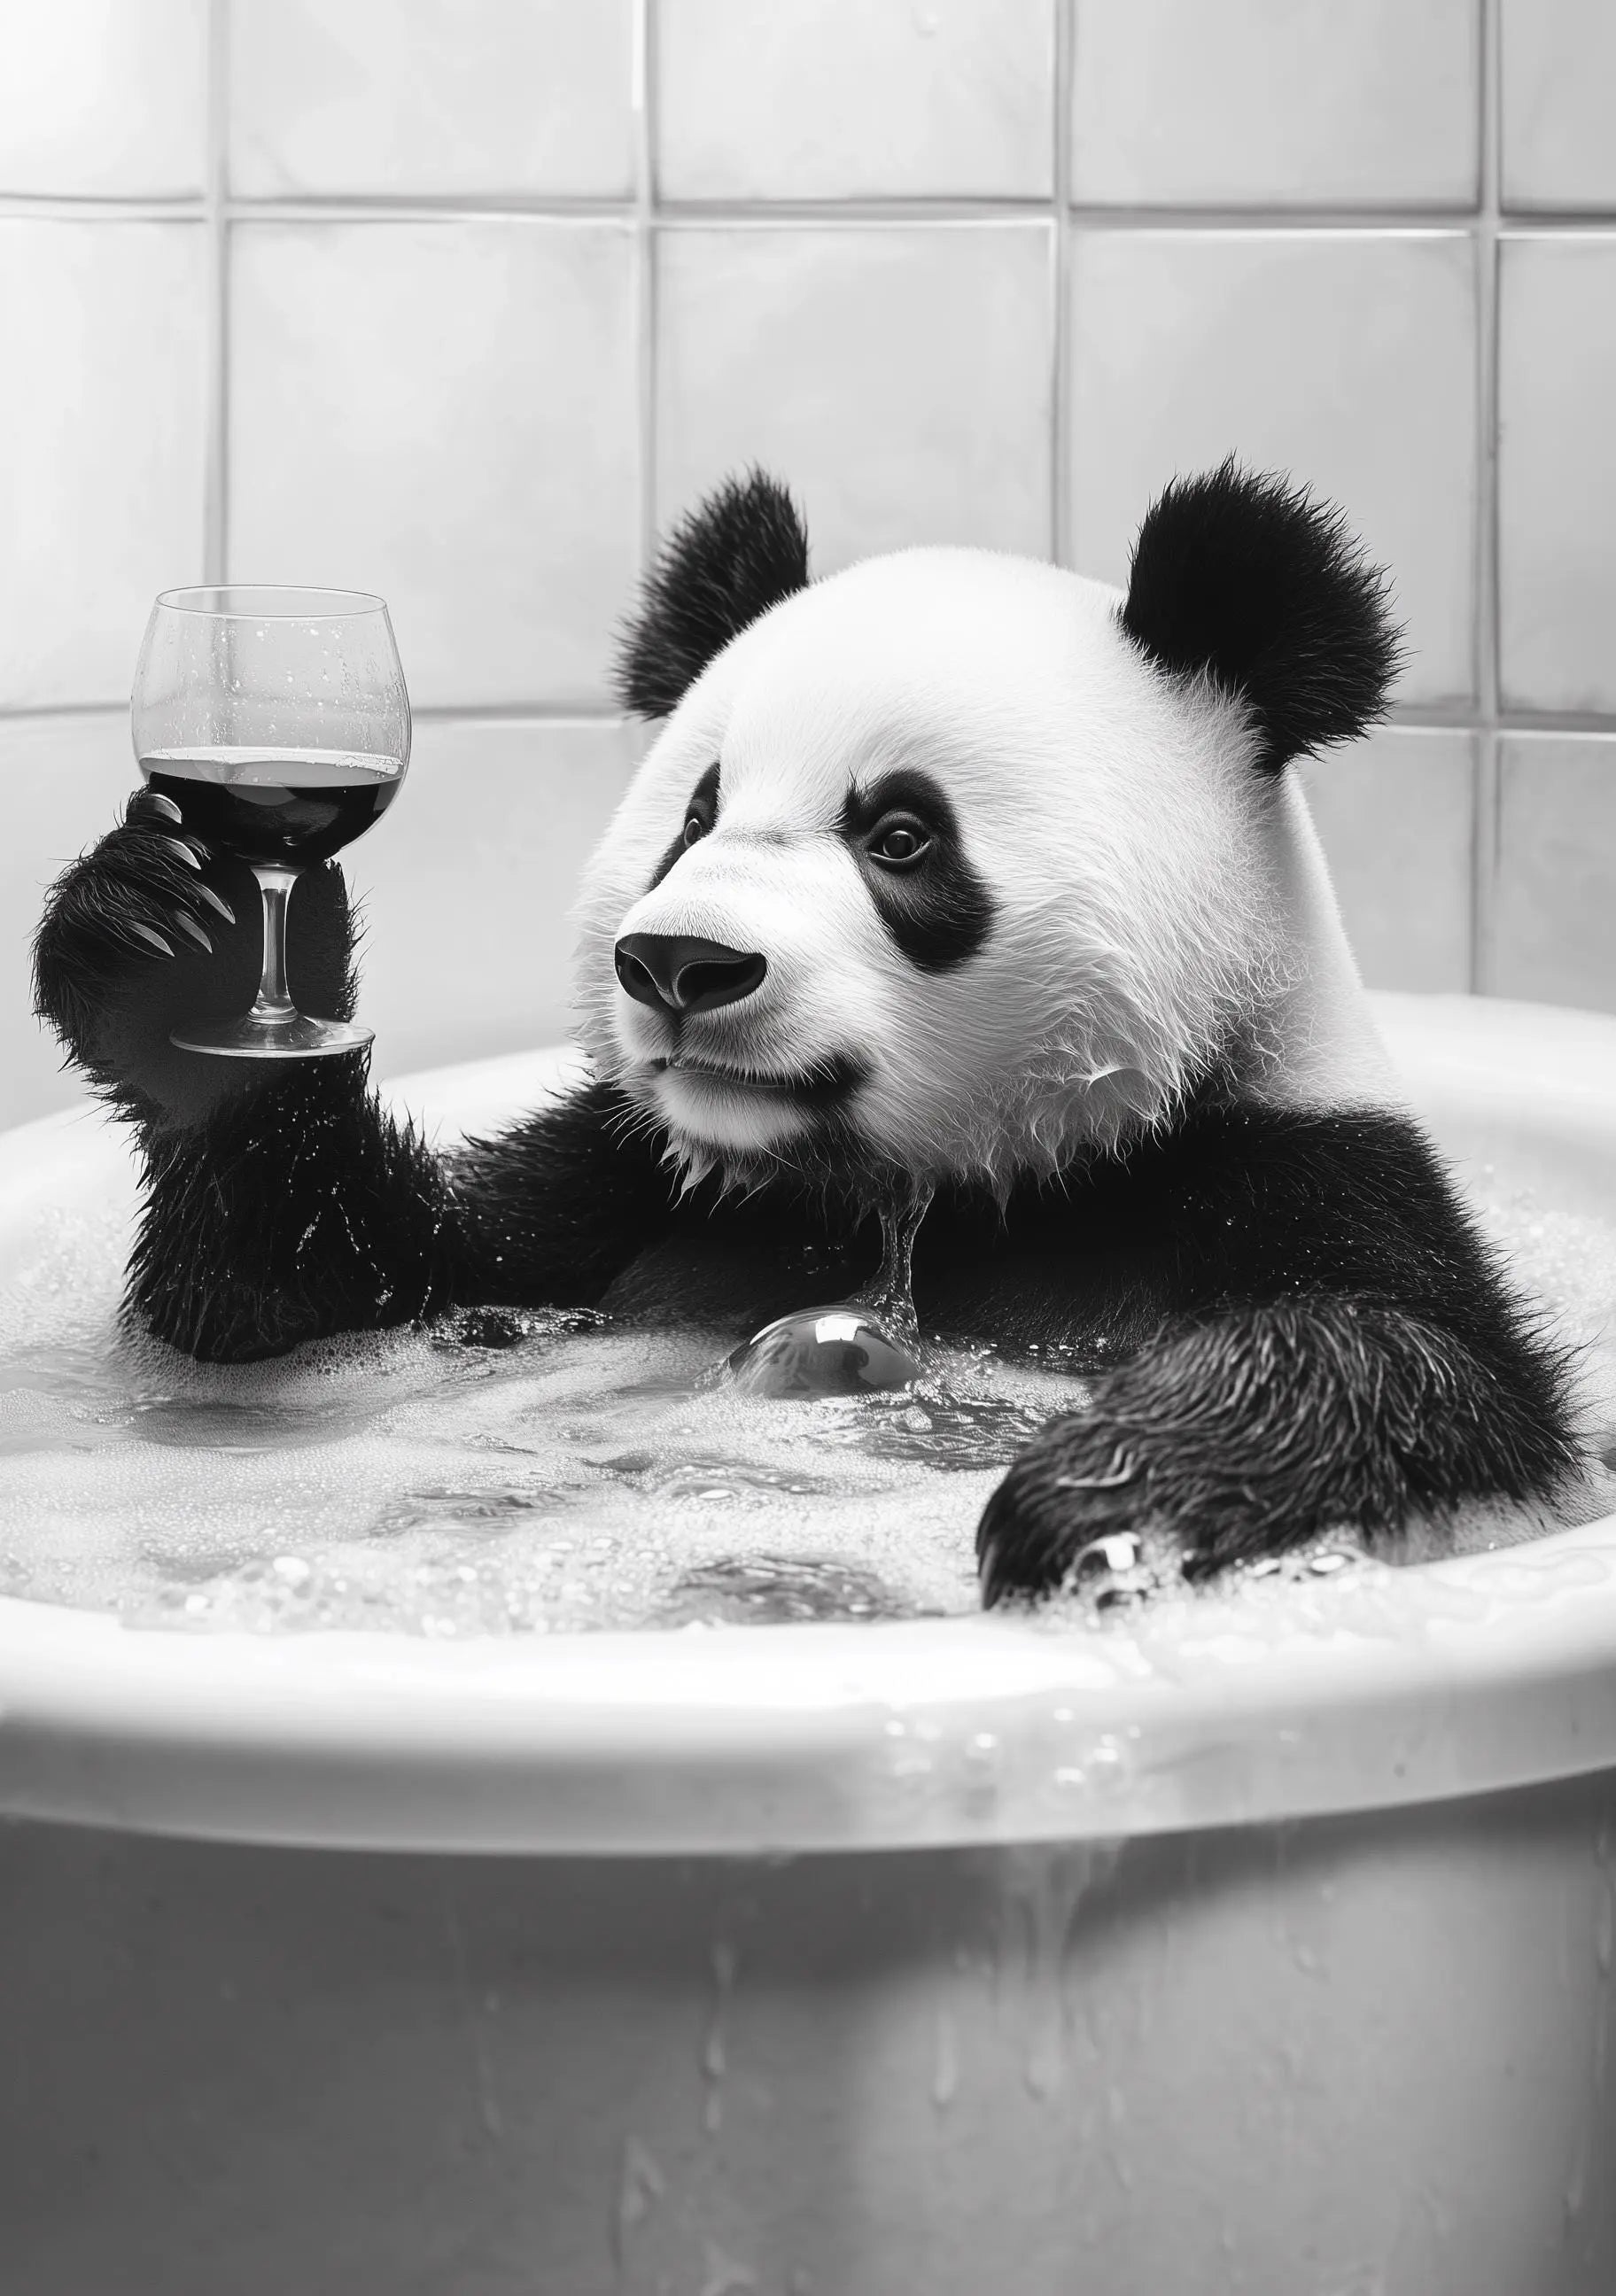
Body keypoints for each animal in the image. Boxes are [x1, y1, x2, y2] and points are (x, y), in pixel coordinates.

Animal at [32, 461, 1578, 1604]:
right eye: (696, 812)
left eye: (900, 835)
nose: (680, 963)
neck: (923, 1195)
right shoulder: (620, 1184)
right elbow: (303, 1292)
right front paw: (170, 943)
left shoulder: (1286, 1165)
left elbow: (1424, 1371)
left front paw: (1105, 1495)